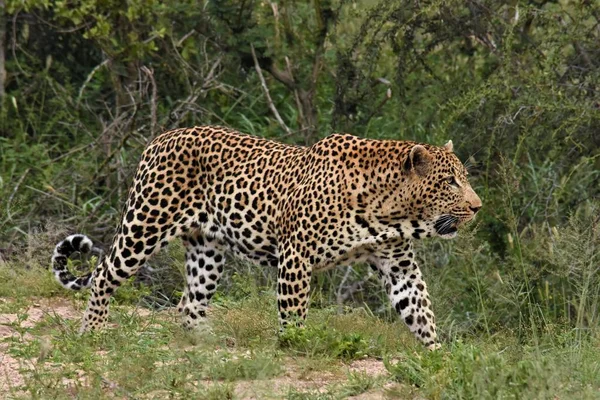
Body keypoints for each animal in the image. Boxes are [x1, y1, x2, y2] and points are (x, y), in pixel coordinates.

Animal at [52, 125, 482, 350]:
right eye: (449, 182)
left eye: (462, 178)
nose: (478, 207)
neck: (391, 211)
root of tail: (159, 138)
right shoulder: (296, 255)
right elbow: (293, 313)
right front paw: (296, 347)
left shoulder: (398, 264)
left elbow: (420, 310)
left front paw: (437, 356)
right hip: (145, 225)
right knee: (104, 274)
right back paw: (92, 332)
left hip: (207, 251)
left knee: (189, 305)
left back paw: (208, 344)